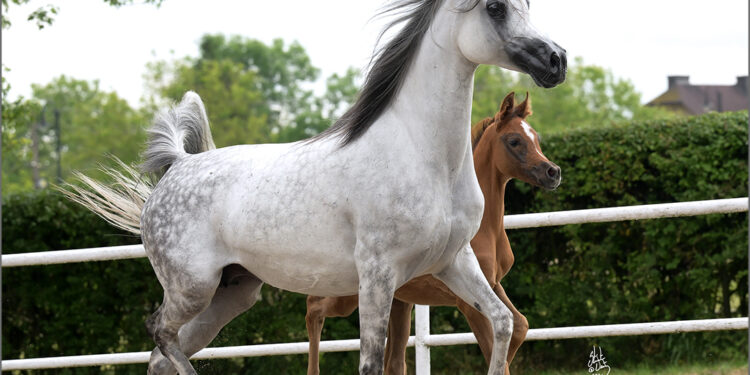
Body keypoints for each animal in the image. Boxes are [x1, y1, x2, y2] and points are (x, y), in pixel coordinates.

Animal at [308, 92, 560, 375]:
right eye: (514, 140)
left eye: (536, 137)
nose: (553, 172)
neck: (487, 230)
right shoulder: (466, 303)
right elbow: (494, 345)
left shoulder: (492, 283)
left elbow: (520, 326)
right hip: (346, 293)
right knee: (313, 307)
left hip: (397, 302)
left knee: (393, 360)